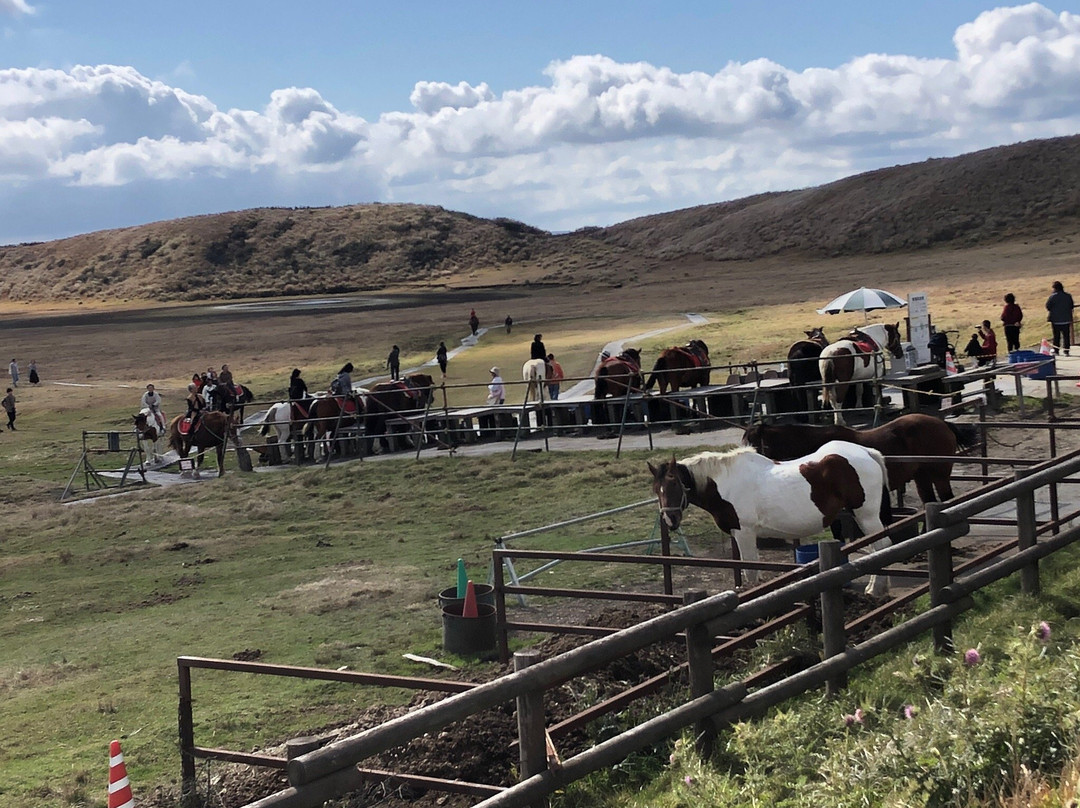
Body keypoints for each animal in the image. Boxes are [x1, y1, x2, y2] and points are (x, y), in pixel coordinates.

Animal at [648, 442, 894, 591]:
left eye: (674, 484)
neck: (724, 484)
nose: (670, 520)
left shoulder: (745, 533)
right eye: (656, 490)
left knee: (881, 546)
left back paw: (875, 589)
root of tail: (866, 452)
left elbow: (751, 569)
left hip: (866, 515)